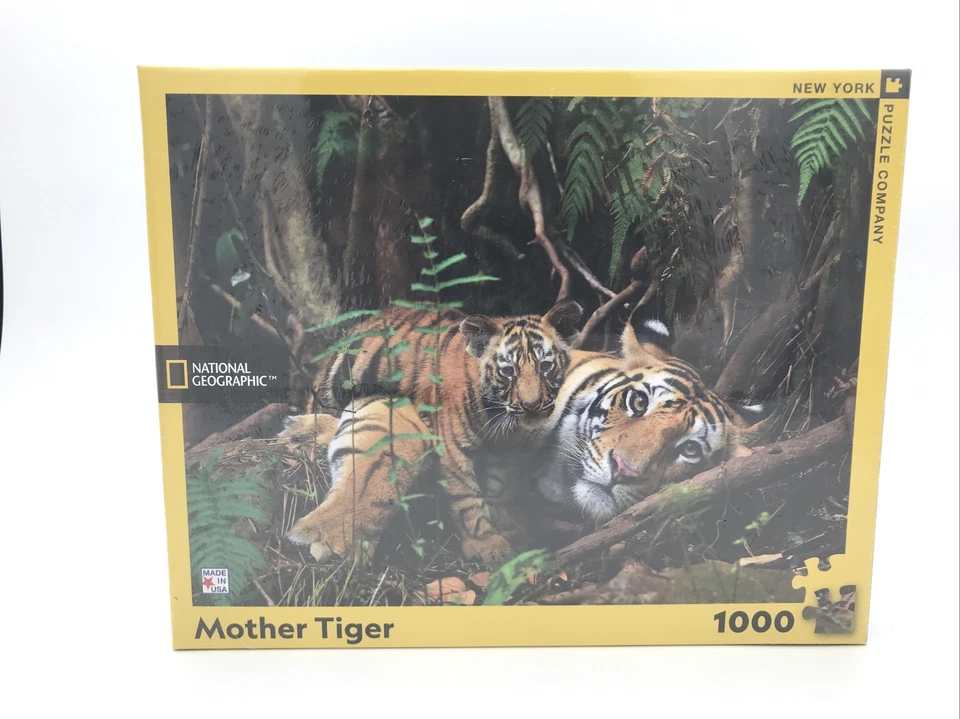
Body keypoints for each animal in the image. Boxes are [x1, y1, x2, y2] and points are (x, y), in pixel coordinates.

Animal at [282, 300, 583, 563]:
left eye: (546, 366)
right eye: (508, 371)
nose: (532, 405)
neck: (501, 419)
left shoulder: (507, 452)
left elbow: (499, 488)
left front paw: (508, 526)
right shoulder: (451, 447)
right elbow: (466, 498)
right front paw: (488, 546)